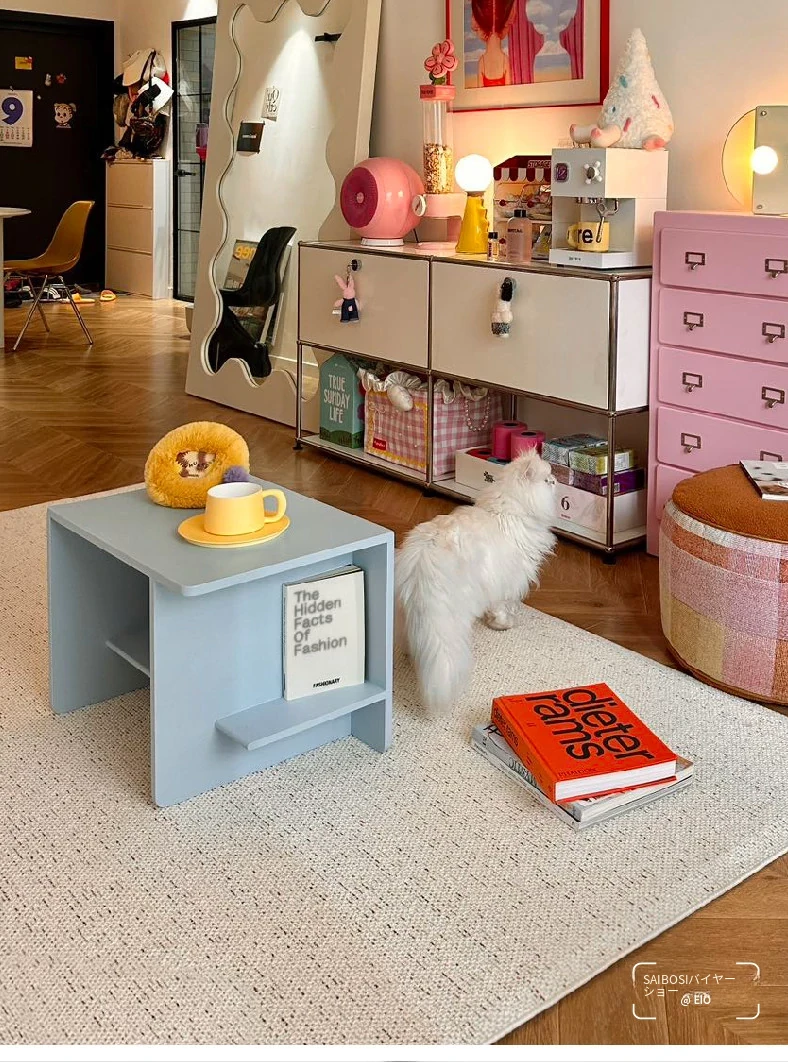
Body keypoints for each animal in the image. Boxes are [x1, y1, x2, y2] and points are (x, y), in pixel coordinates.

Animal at [396, 450, 557, 716]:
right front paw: (502, 624)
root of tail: (424, 559)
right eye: (547, 480)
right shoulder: (508, 581)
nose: (556, 482)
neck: (506, 510)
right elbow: (502, 608)